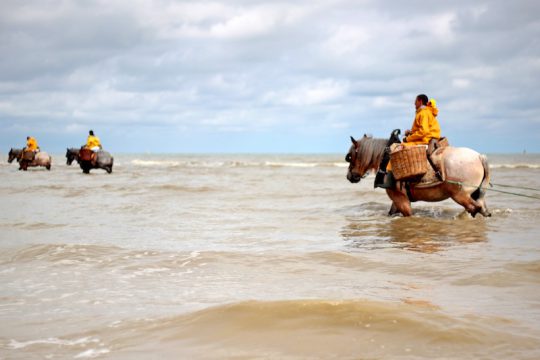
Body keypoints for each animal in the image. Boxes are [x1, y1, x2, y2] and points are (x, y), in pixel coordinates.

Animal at [348, 135, 492, 218]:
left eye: (351, 156)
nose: (349, 176)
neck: (386, 159)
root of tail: (479, 156)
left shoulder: (400, 199)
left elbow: (408, 214)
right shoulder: (398, 199)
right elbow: (391, 213)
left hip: (460, 195)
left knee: (475, 208)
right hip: (474, 194)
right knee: (482, 209)